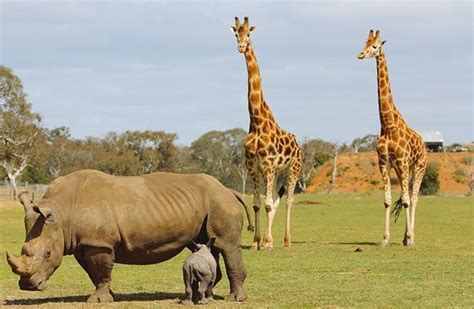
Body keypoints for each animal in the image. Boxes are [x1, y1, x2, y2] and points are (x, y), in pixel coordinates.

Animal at [231, 16, 302, 250]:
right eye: (236, 33)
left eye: (249, 34)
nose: (241, 46)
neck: (256, 120)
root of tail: (298, 145)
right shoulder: (253, 166)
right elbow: (257, 203)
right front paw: (256, 242)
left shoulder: (269, 165)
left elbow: (269, 204)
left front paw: (269, 242)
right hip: (275, 172)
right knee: (274, 199)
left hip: (292, 169)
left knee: (288, 200)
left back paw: (286, 240)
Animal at [358, 30, 428, 247]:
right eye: (364, 43)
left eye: (375, 46)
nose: (360, 54)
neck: (388, 125)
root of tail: (424, 145)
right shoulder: (385, 162)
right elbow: (388, 200)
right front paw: (385, 239)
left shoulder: (403, 161)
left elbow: (406, 201)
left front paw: (410, 239)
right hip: (404, 168)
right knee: (408, 196)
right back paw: (405, 237)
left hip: (419, 166)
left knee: (414, 198)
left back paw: (411, 237)